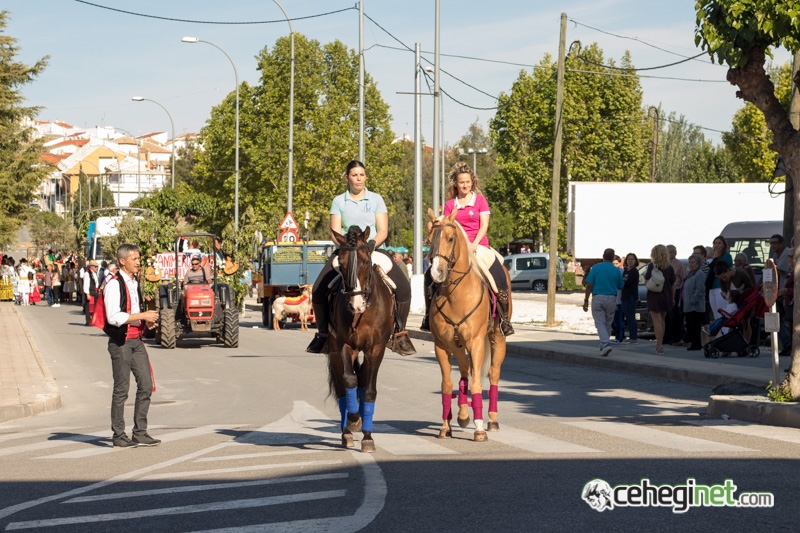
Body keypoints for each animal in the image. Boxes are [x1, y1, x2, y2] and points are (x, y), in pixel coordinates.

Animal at [326, 224, 396, 454]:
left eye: (366, 261)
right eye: (341, 264)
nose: (356, 305)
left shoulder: (377, 348)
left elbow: (369, 391)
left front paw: (367, 437)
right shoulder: (345, 345)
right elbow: (349, 381)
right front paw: (354, 420)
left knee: (364, 381)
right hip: (333, 350)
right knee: (342, 389)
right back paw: (346, 433)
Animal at [428, 208, 510, 440]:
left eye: (450, 238)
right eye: (429, 239)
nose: (436, 273)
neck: (456, 294)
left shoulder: (476, 342)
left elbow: (476, 382)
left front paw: (479, 428)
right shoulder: (441, 345)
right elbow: (447, 384)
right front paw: (445, 426)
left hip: (496, 338)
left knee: (492, 373)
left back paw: (491, 420)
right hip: (457, 344)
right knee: (465, 370)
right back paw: (463, 414)